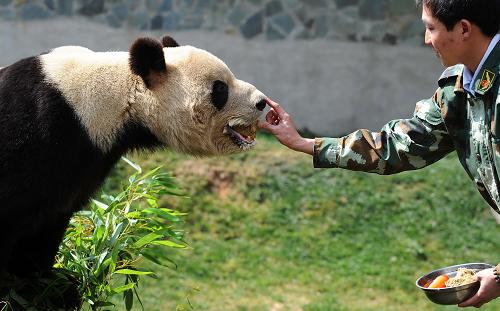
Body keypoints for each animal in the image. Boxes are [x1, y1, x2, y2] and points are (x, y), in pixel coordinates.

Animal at [0, 34, 270, 280]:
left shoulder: (84, 162)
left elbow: (53, 216)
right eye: (220, 89)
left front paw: (43, 280)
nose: (261, 102)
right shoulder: (41, 132)